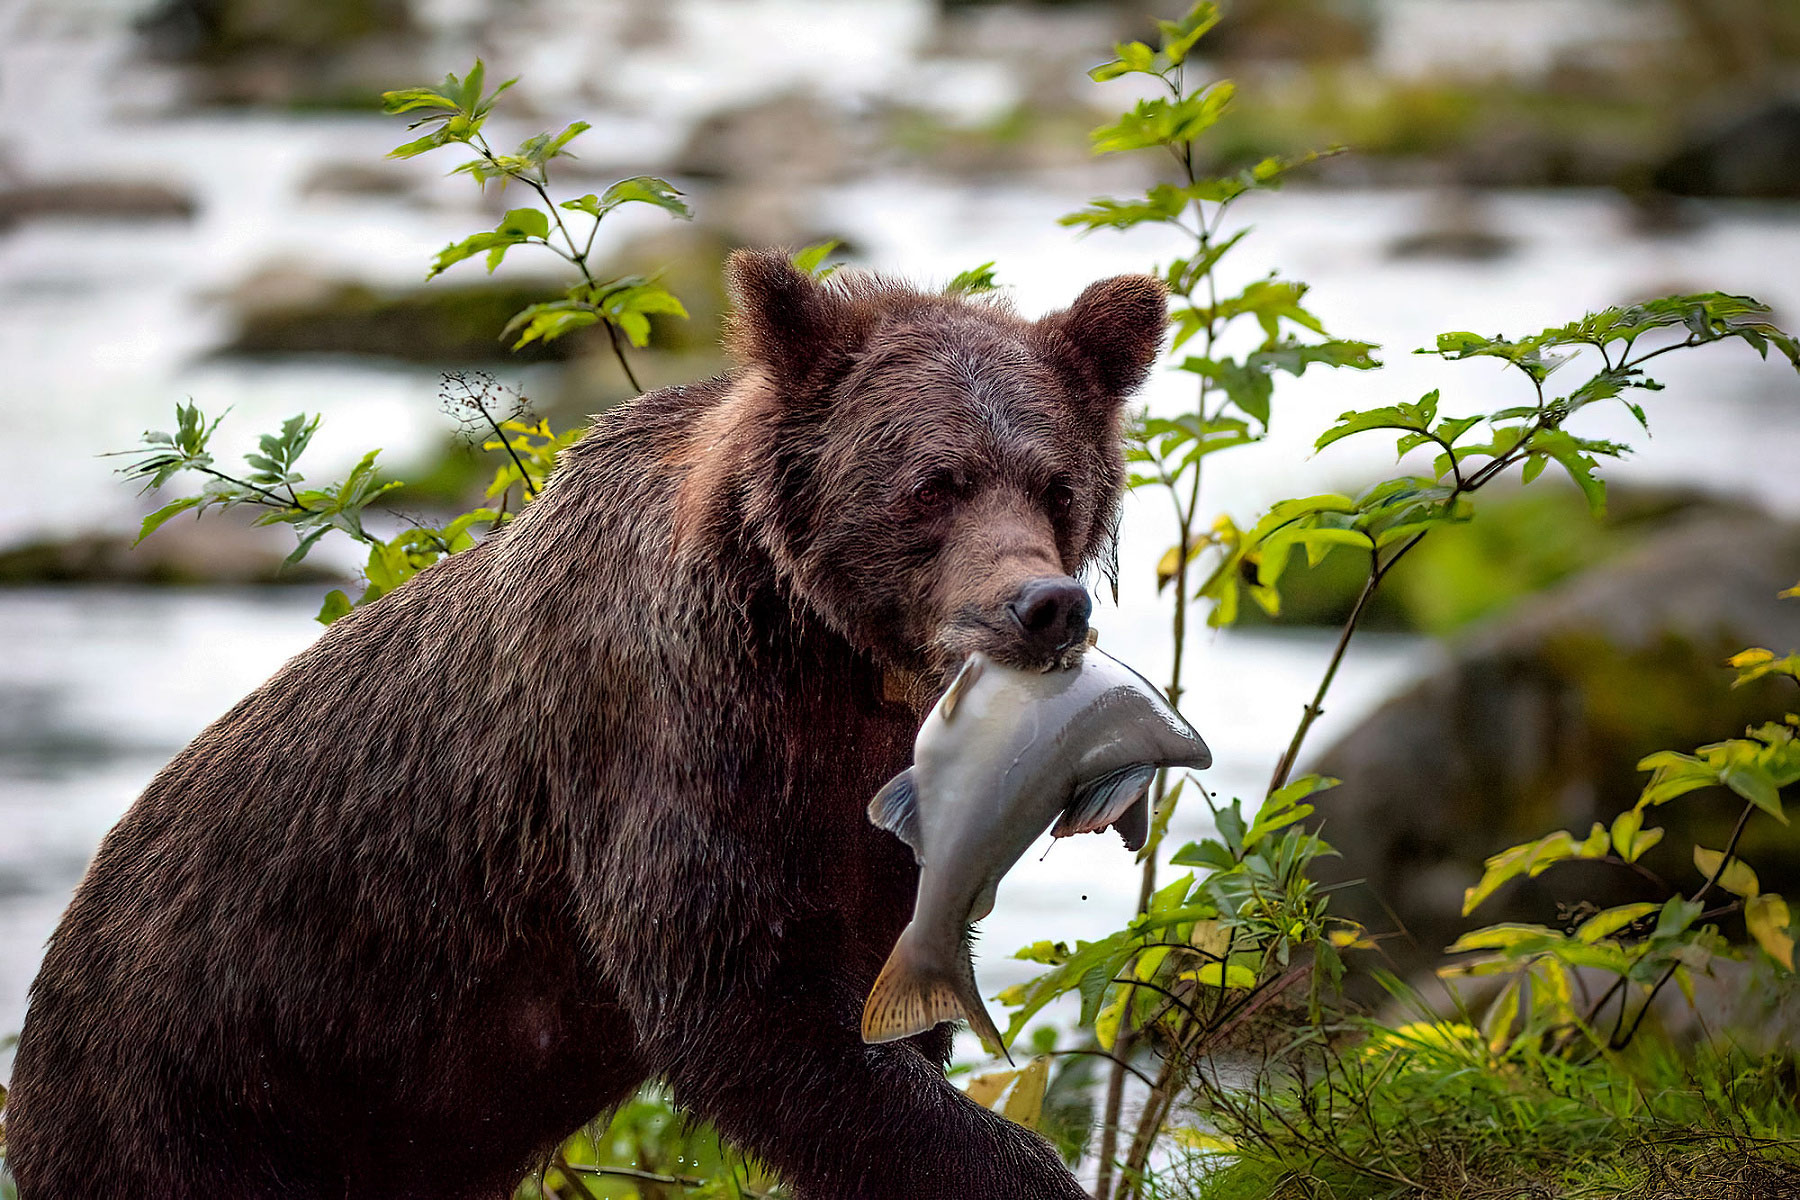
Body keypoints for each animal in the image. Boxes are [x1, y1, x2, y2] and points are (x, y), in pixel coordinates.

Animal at [7, 253, 1166, 1200]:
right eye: (934, 484)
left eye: (1057, 483)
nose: (1045, 605)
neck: (831, 663)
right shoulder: (673, 745)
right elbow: (754, 1012)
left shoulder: (875, 811)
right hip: (206, 1088)